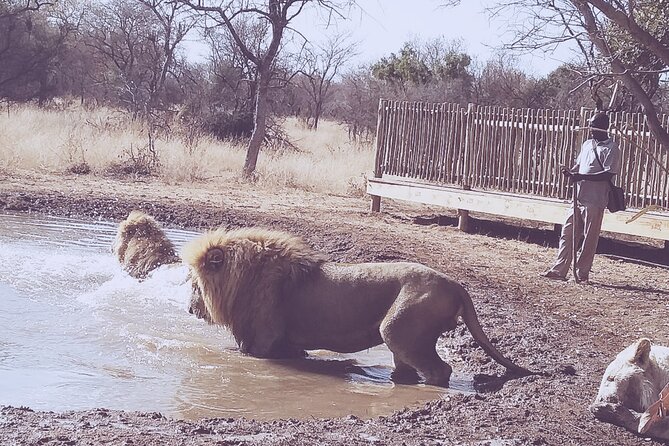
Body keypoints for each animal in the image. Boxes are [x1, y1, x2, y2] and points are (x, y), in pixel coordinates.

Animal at [183, 228, 532, 386]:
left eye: (194, 285)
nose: (188, 309)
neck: (244, 279)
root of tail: (457, 284)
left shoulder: (262, 342)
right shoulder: (283, 343)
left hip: (397, 330)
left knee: (441, 371)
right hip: (402, 340)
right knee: (409, 369)